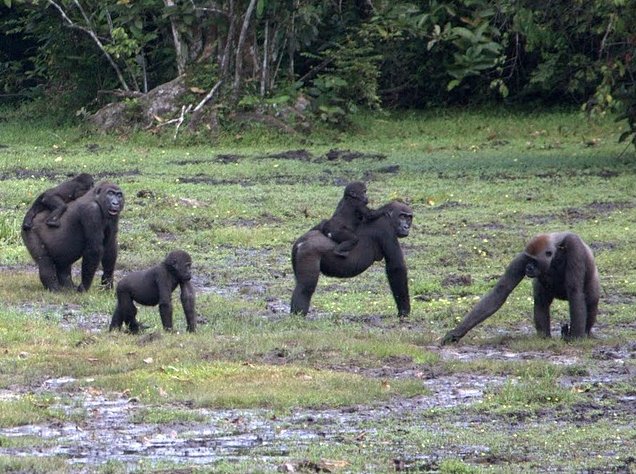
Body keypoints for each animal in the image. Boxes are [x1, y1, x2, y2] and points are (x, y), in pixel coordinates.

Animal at [442, 231, 600, 344]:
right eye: (529, 260)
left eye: (534, 261)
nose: (528, 268)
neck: (555, 254)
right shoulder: (522, 257)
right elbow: (501, 290)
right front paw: (456, 333)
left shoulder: (575, 248)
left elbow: (575, 292)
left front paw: (576, 338)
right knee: (541, 301)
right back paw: (544, 337)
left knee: (591, 302)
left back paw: (585, 333)